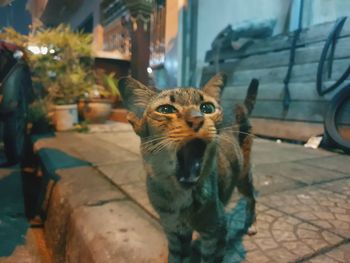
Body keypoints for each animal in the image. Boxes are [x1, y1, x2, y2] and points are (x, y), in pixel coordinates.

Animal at [119, 74, 258, 263]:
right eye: (165, 109)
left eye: (207, 108)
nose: (197, 119)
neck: (182, 197)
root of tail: (238, 104)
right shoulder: (175, 232)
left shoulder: (217, 230)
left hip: (243, 176)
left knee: (252, 197)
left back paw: (250, 224)